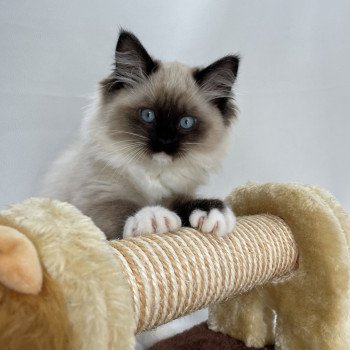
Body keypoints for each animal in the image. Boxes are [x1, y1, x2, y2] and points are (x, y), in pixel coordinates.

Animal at [40, 30, 238, 239]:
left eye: (186, 122)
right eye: (148, 115)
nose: (165, 140)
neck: (153, 174)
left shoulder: (177, 193)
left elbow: (183, 202)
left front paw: (213, 214)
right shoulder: (98, 200)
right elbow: (124, 210)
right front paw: (154, 217)